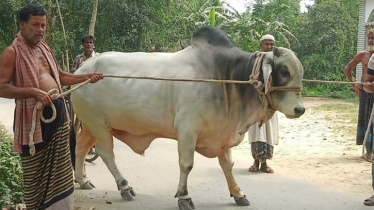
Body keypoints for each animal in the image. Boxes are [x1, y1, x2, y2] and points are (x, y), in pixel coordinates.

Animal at [71, 26, 306, 210]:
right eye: (284, 71)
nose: (300, 109)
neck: (225, 78)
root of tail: (81, 70)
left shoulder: (222, 134)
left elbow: (227, 165)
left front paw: (238, 194)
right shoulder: (187, 130)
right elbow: (187, 164)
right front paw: (183, 196)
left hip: (94, 125)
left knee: (81, 146)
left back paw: (83, 180)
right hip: (98, 124)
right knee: (106, 154)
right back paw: (124, 187)